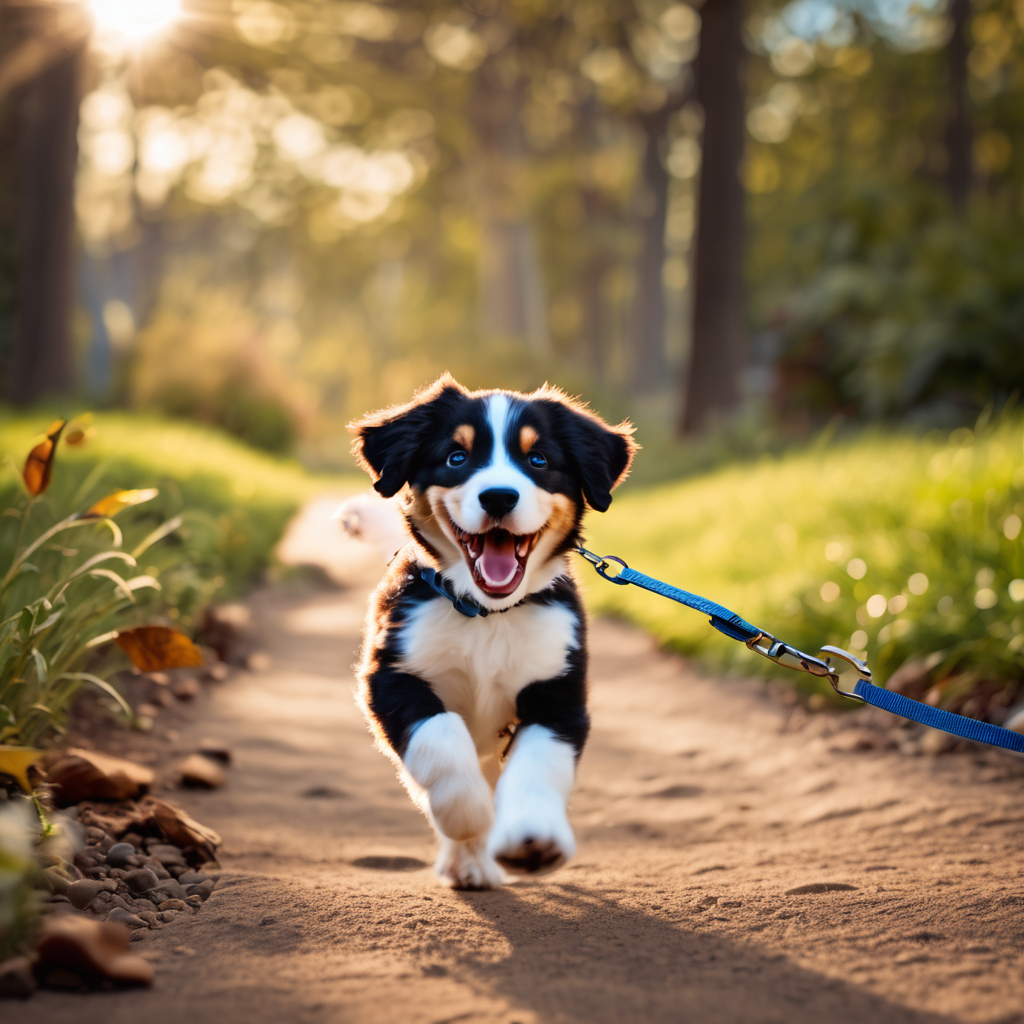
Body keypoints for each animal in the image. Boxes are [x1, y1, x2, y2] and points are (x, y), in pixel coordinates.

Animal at [354, 376, 638, 888]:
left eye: (538, 460)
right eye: (456, 457)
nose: (499, 497)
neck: (487, 616)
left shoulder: (558, 693)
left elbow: (537, 765)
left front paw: (532, 839)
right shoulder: (390, 678)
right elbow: (441, 739)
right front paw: (469, 815)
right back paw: (466, 859)